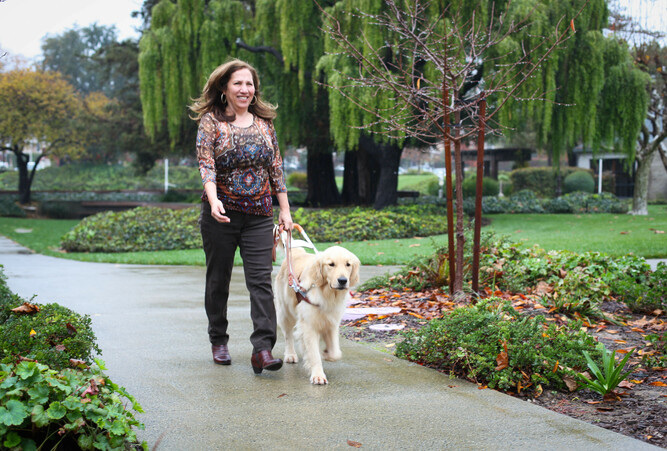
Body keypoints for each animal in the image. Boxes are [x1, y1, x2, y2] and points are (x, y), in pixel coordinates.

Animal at [274, 247, 362, 384]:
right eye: (331, 264)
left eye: (348, 264)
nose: (343, 280)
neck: (328, 294)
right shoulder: (309, 326)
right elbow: (314, 354)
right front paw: (318, 375)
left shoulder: (332, 322)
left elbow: (336, 353)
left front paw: (327, 354)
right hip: (285, 312)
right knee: (288, 335)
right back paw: (290, 354)